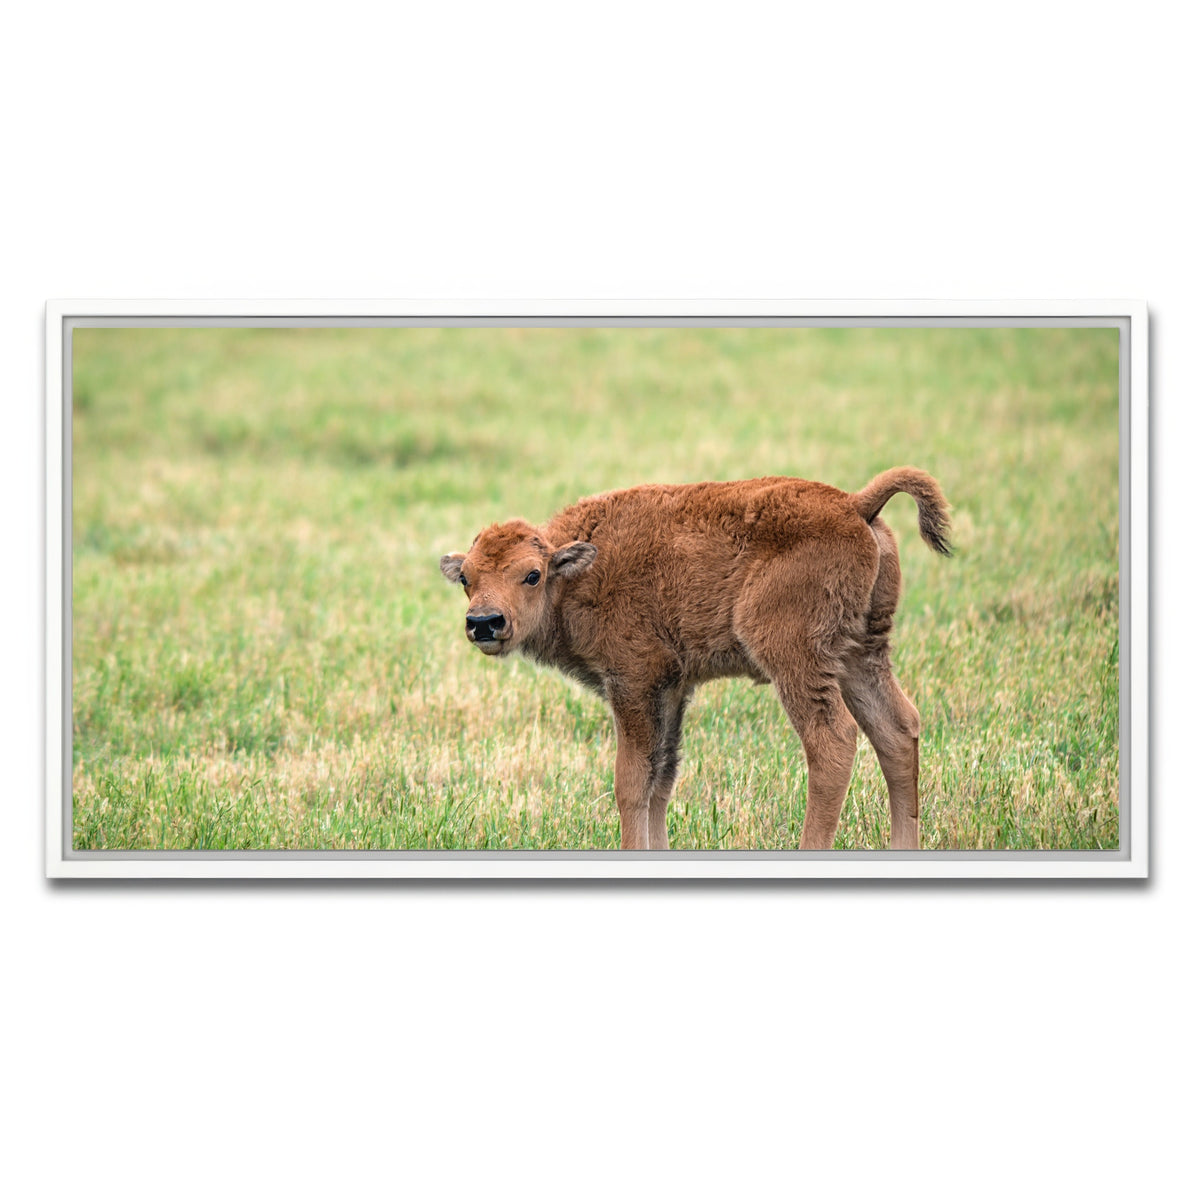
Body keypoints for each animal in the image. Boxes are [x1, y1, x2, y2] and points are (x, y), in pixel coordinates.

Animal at [440, 467, 951, 851]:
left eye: (532, 575)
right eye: (466, 578)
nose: (484, 622)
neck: (577, 571)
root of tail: (854, 504)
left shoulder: (633, 681)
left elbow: (631, 782)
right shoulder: (672, 688)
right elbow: (661, 779)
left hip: (798, 659)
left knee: (833, 742)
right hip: (861, 653)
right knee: (896, 729)